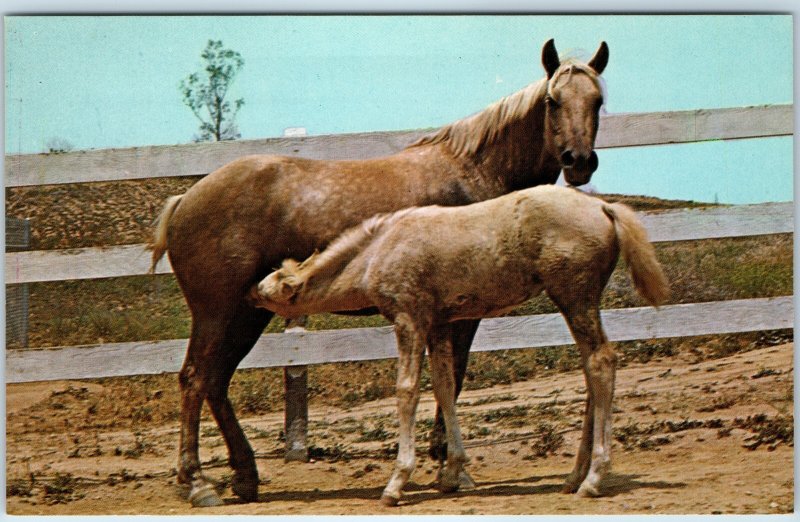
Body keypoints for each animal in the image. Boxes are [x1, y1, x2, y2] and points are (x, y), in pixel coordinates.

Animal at [150, 39, 609, 507]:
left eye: (597, 101)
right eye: (553, 101)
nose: (578, 162)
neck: (474, 173)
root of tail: (185, 199)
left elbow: (446, 381)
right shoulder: (459, 317)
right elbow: (453, 380)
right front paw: (451, 469)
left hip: (247, 314)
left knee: (216, 382)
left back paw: (245, 477)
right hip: (217, 314)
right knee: (194, 379)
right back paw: (198, 483)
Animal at [248, 185, 669, 505]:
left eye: (272, 285)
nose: (251, 292)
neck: (379, 250)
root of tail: (603, 207)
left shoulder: (410, 319)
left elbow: (407, 391)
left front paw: (396, 482)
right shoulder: (440, 324)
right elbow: (445, 387)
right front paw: (453, 472)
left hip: (574, 296)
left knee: (602, 361)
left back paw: (593, 478)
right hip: (577, 301)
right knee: (590, 369)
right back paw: (573, 477)